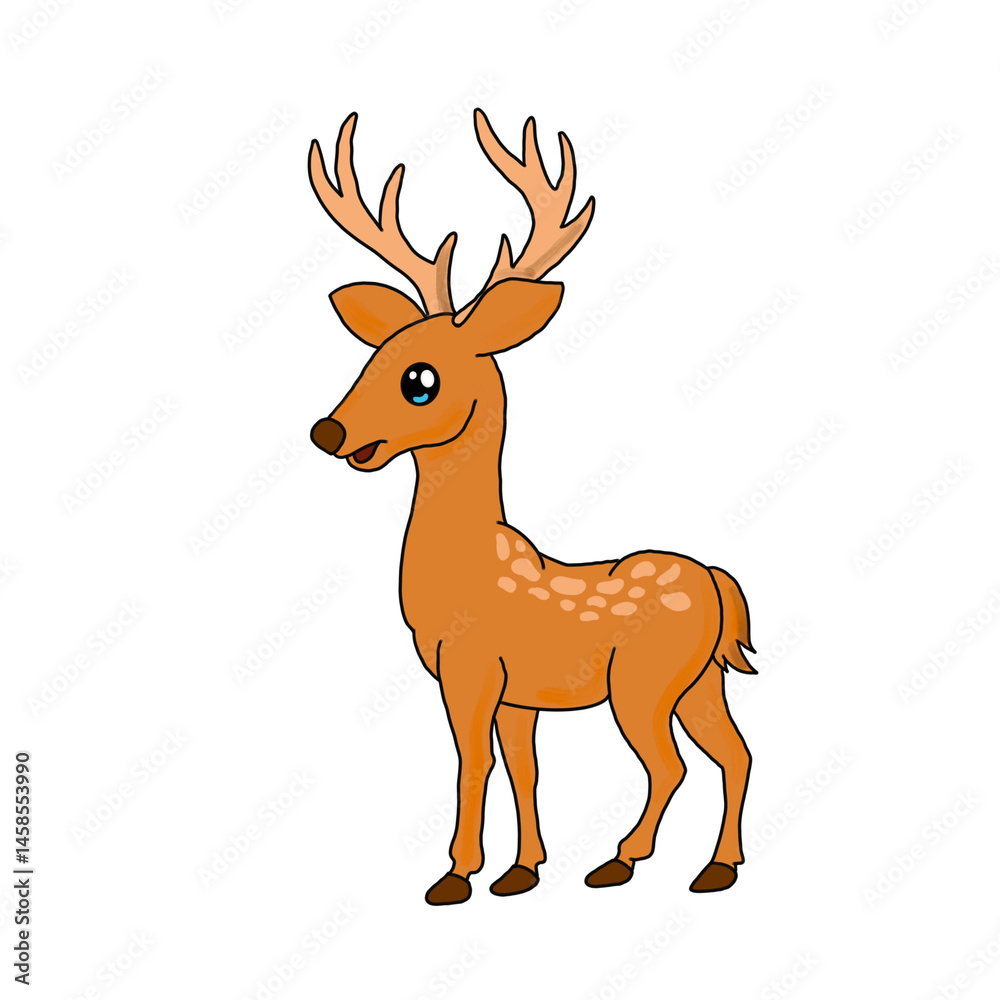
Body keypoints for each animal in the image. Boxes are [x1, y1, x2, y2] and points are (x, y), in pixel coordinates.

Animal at [308, 110, 756, 906]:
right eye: (371, 356)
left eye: (419, 379)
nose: (329, 431)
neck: (466, 571)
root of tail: (716, 582)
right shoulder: (518, 694)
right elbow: (526, 767)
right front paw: (521, 871)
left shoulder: (469, 667)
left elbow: (473, 763)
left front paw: (455, 874)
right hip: (702, 678)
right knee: (735, 753)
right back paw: (716, 868)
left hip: (643, 682)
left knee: (671, 764)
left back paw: (620, 860)